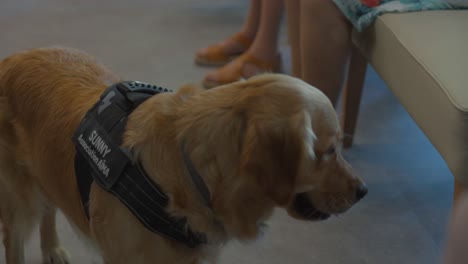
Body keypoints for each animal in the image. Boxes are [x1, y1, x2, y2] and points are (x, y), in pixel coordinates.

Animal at [0, 48, 366, 264]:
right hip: (17, 205)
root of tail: (14, 58)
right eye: (329, 151)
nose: (362, 191)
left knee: (49, 208)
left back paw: (52, 249)